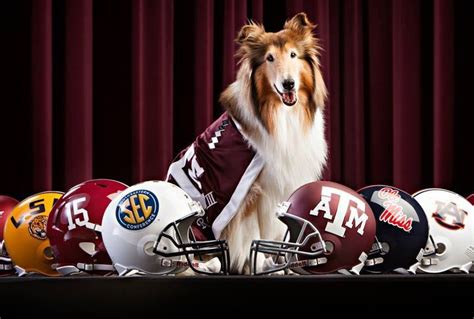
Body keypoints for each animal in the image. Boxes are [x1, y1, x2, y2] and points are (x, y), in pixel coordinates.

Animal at [168, 11, 328, 274]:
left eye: (293, 55)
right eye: (269, 58)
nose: (288, 84)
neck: (279, 114)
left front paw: (278, 264)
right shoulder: (250, 195)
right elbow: (252, 235)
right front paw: (257, 265)